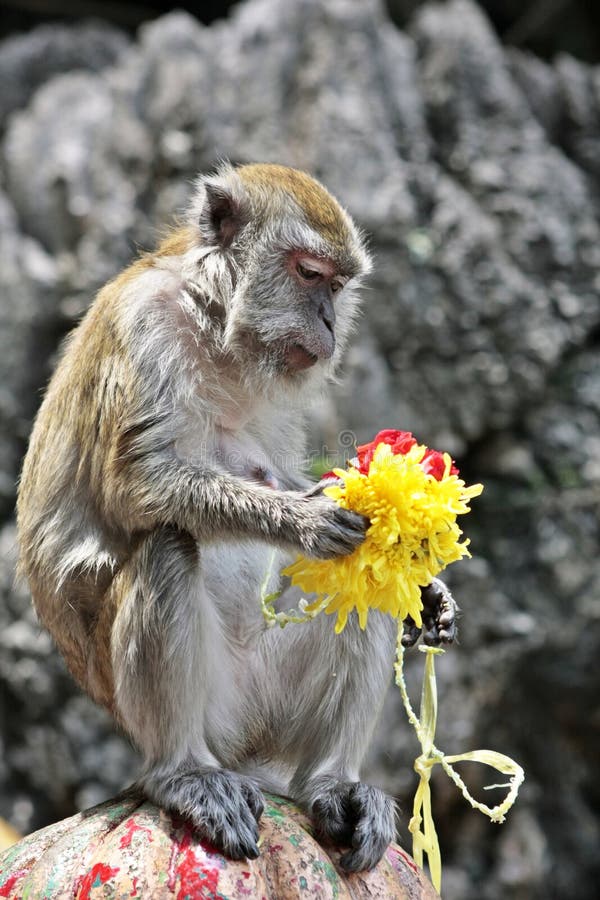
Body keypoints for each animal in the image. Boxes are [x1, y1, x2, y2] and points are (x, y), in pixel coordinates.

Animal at [17, 162, 456, 871]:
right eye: (310, 274)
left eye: (338, 286)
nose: (329, 321)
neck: (213, 327)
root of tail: (244, 751)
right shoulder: (145, 327)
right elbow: (138, 481)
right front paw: (304, 521)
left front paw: (429, 589)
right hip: (213, 710)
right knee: (167, 545)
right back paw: (184, 773)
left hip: (274, 710)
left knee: (365, 585)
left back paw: (333, 784)